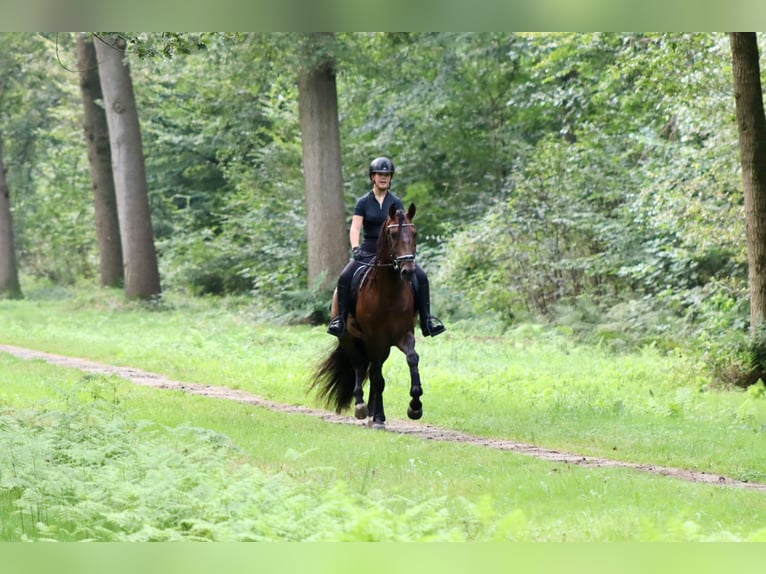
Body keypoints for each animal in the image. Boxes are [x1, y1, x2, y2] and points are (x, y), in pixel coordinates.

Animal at [311, 202, 423, 429]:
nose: (408, 271)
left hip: (381, 347)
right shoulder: (374, 339)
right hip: (350, 340)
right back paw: (363, 408)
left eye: (414, 233)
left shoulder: (403, 335)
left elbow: (412, 359)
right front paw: (376, 417)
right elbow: (378, 379)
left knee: (371, 371)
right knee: (360, 367)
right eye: (393, 234)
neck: (389, 294)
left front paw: (415, 406)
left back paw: (373, 412)